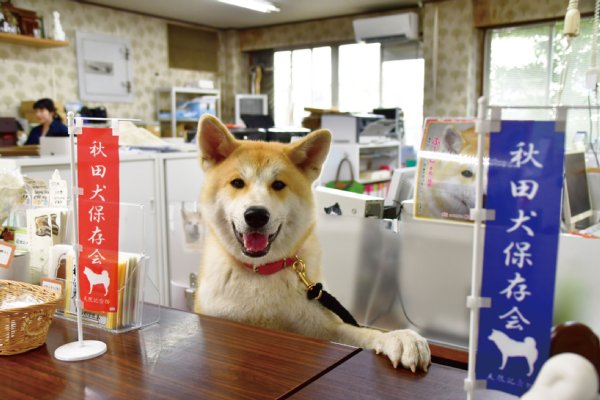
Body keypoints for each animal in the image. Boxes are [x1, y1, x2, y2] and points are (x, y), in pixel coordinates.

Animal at [195, 115, 428, 372]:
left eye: (278, 185)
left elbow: (364, 332)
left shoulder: (324, 328)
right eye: (237, 183)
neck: (261, 272)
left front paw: (398, 337)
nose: (256, 215)